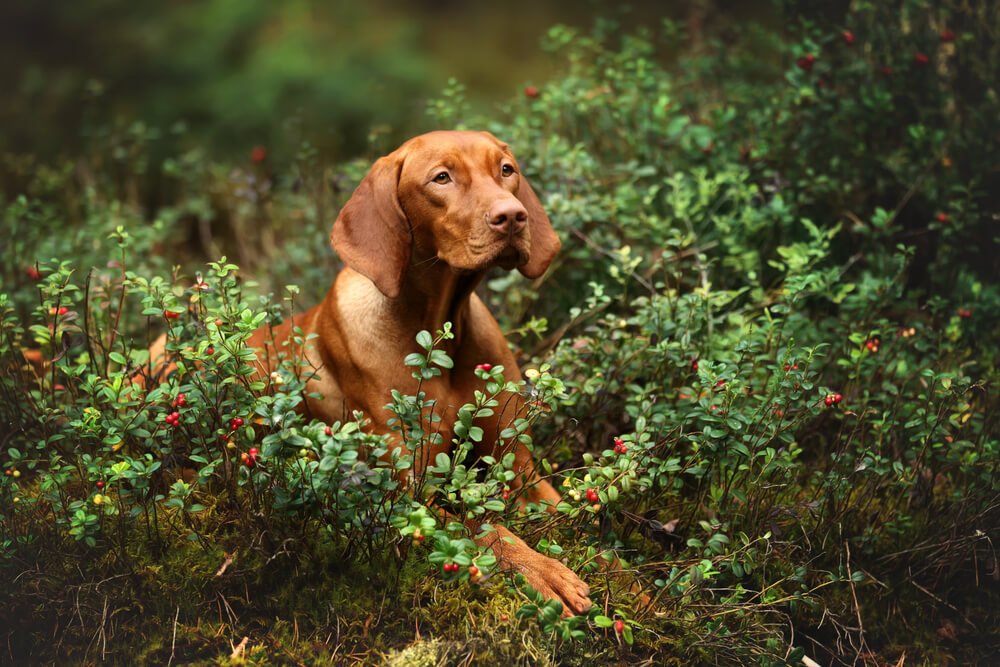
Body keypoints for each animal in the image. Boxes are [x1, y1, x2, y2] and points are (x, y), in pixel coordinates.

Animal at [246, 129, 588, 616]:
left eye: (506, 170)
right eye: (441, 178)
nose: (513, 216)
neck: (440, 332)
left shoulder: (521, 470)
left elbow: (570, 516)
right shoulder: (405, 494)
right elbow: (483, 530)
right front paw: (541, 570)